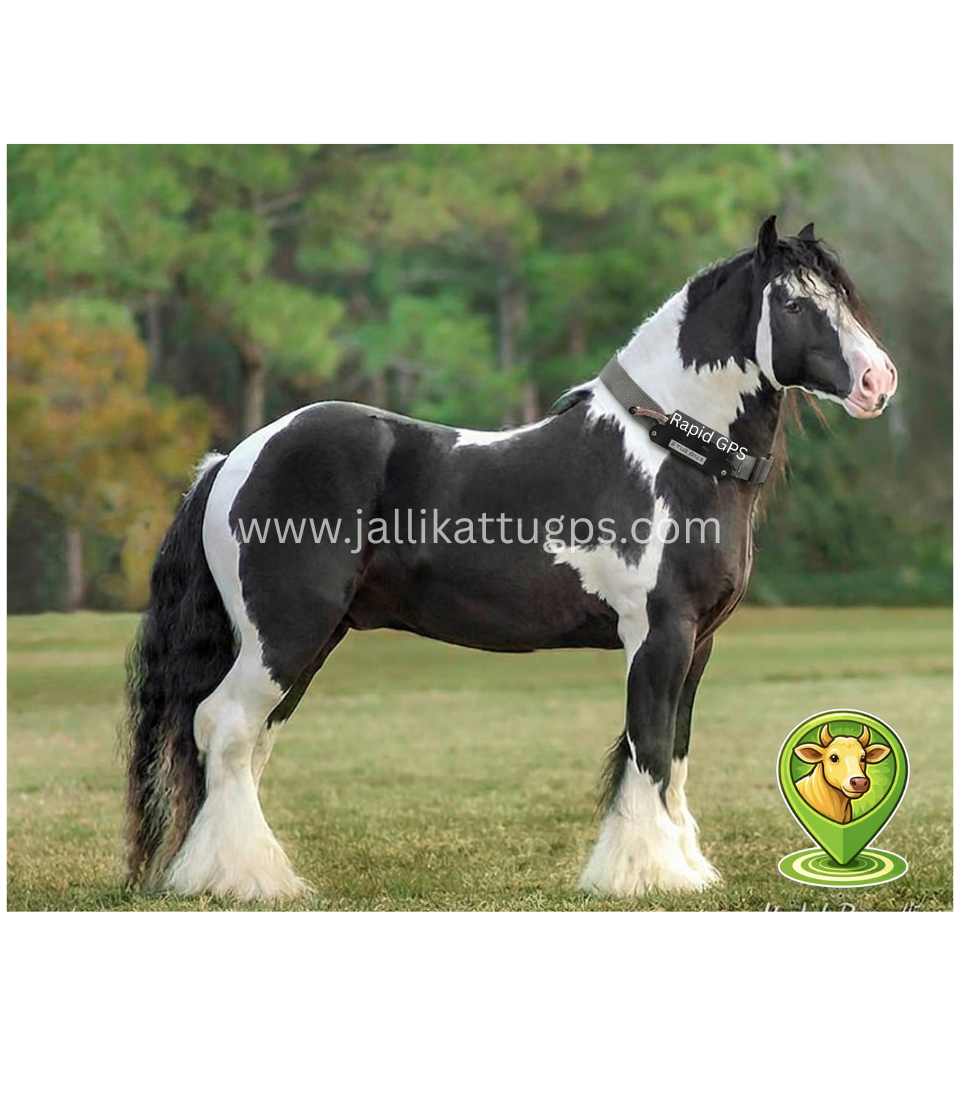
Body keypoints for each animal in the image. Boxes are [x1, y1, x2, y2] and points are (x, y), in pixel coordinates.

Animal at [123, 216, 898, 901]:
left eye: (845, 300)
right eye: (794, 303)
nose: (877, 381)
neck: (667, 455)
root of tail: (235, 459)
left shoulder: (697, 644)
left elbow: (673, 753)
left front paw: (683, 866)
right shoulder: (659, 635)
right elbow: (647, 748)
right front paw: (647, 875)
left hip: (300, 645)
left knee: (244, 745)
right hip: (284, 639)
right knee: (223, 728)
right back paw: (243, 879)